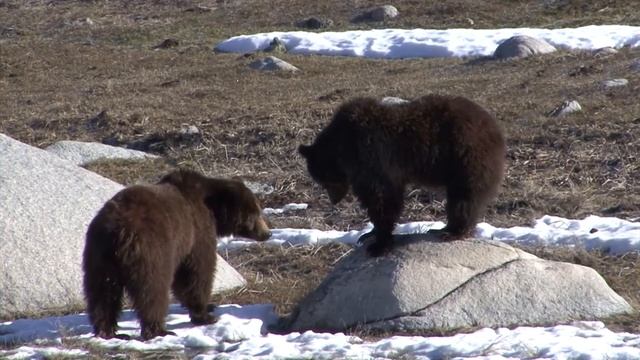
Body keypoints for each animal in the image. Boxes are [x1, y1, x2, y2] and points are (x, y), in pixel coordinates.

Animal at [81, 169, 272, 340]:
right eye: (255, 213)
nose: (267, 233)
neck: (214, 211)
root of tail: (117, 231)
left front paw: (209, 307)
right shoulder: (195, 231)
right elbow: (196, 273)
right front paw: (205, 313)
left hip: (99, 257)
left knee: (103, 293)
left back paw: (108, 330)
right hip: (149, 251)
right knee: (152, 290)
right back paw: (159, 330)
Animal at [298, 94, 504, 258]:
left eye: (325, 181)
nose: (333, 200)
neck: (344, 148)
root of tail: (495, 128)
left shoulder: (374, 158)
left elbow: (383, 199)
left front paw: (379, 244)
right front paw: (368, 234)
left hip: (466, 157)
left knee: (465, 197)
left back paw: (454, 231)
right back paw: (442, 227)